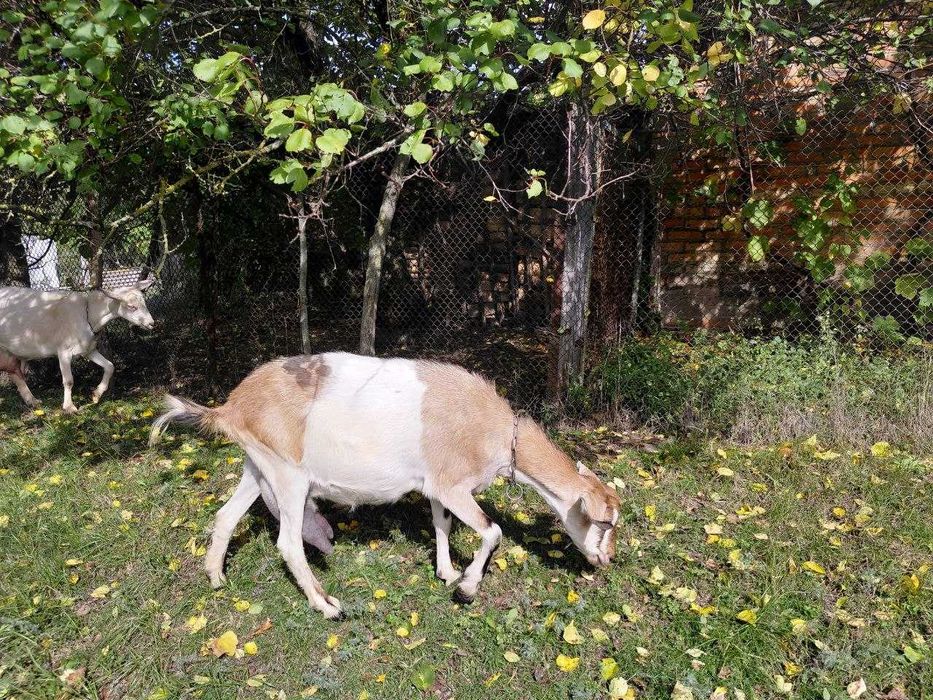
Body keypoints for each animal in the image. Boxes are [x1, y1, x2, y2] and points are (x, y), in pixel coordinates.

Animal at [0, 280, 155, 413]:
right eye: (132, 307)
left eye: (144, 303)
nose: (151, 323)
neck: (88, 314)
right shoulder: (64, 352)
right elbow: (68, 381)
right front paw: (69, 407)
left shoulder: (88, 350)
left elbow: (110, 366)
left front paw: (96, 394)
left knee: (15, 373)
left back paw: (33, 401)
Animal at [150, 352, 621, 619]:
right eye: (605, 523)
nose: (607, 559)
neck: (496, 431)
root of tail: (232, 406)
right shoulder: (452, 484)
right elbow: (493, 531)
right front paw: (467, 587)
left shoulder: (435, 486)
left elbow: (441, 524)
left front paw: (447, 572)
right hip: (289, 475)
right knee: (287, 543)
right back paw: (327, 606)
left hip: (258, 464)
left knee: (226, 515)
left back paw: (215, 577)